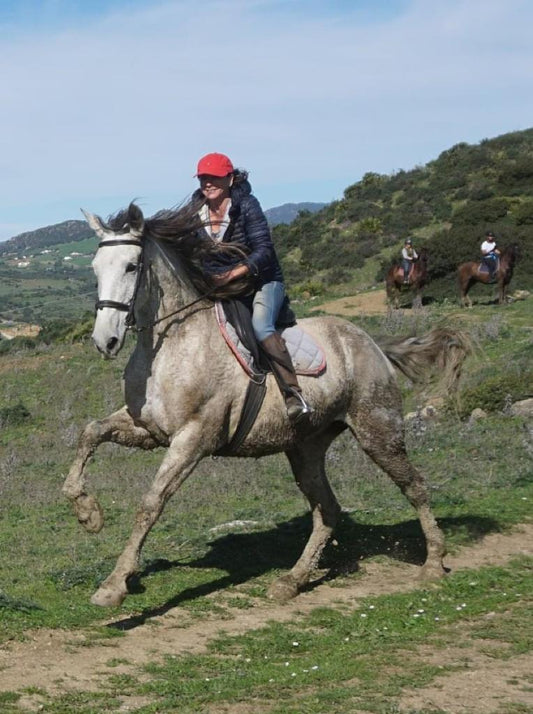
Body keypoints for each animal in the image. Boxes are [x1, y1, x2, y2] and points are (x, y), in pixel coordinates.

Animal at [63, 202, 470, 608]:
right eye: (95, 268)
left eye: (132, 266)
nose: (105, 341)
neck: (172, 343)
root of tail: (372, 344)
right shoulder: (147, 428)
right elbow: (90, 433)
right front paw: (88, 513)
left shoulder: (193, 439)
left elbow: (150, 503)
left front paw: (114, 584)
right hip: (306, 448)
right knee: (327, 510)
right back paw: (292, 580)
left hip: (378, 431)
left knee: (415, 487)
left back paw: (433, 563)